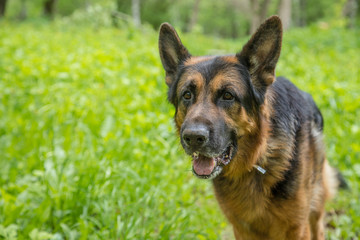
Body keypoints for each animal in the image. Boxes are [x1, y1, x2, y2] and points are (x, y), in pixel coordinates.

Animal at [159, 15, 344, 239]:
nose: (193, 137)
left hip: (315, 209)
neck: (256, 159)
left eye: (228, 95)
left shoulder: (297, 228)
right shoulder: (241, 228)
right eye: (187, 95)